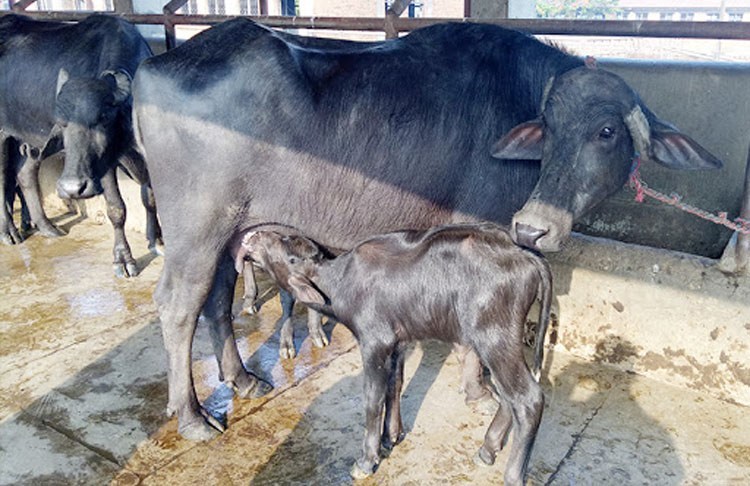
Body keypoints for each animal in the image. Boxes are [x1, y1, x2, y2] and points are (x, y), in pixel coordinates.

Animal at [0, 13, 160, 276]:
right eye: (62, 123)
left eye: (102, 118)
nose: (72, 188)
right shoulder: (106, 166)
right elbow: (116, 209)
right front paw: (123, 259)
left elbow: (150, 198)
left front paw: (156, 239)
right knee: (4, 180)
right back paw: (9, 232)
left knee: (25, 175)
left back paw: (46, 227)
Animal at [134, 19, 724, 440]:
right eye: (550, 127)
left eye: (605, 131)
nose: (535, 228)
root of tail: (156, 66)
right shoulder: (483, 229)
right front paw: (478, 389)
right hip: (196, 229)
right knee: (179, 304)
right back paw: (192, 417)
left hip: (231, 232)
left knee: (217, 297)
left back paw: (241, 379)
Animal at [241, 222, 552, 484]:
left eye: (284, 244)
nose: (252, 235)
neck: (341, 282)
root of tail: (523, 253)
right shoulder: (398, 343)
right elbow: (394, 385)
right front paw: (391, 436)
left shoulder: (374, 343)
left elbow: (372, 398)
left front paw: (367, 459)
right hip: (500, 343)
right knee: (510, 395)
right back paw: (488, 448)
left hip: (494, 338)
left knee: (528, 398)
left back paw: (511, 475)